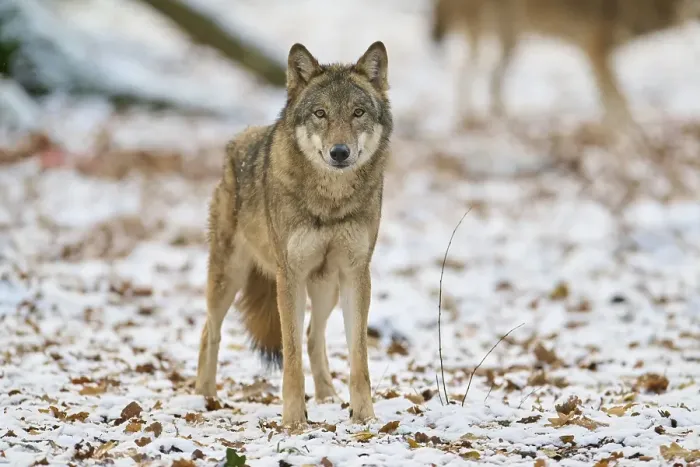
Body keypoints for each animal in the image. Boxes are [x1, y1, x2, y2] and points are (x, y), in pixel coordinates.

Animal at [194, 41, 392, 427]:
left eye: (358, 113)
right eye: (320, 113)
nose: (340, 152)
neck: (330, 200)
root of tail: (239, 141)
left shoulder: (355, 274)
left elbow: (358, 358)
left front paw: (364, 417)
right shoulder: (289, 275)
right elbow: (291, 356)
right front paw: (293, 420)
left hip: (326, 286)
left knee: (314, 335)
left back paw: (327, 396)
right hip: (228, 278)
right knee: (210, 330)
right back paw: (203, 397)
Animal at [430, 0, 700, 127]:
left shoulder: (599, 57)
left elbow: (612, 106)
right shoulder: (595, 51)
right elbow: (619, 105)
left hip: (511, 44)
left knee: (490, 82)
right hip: (494, 39)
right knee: (466, 73)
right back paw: (470, 119)